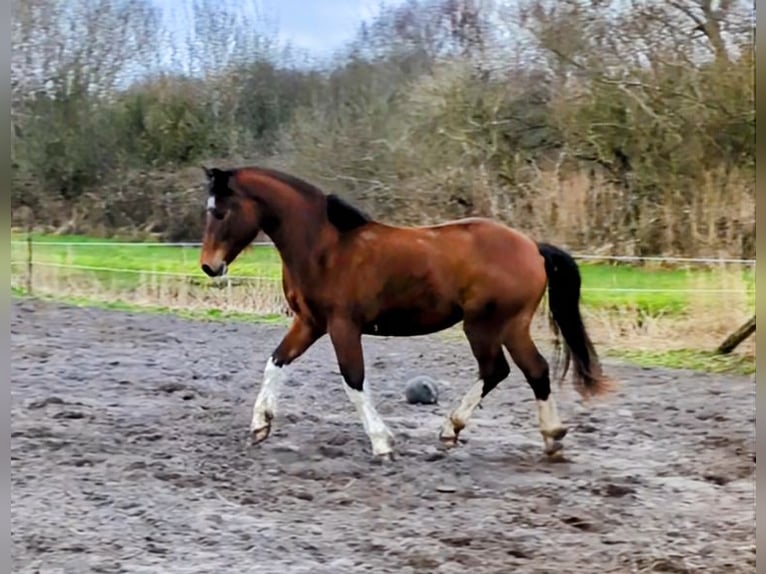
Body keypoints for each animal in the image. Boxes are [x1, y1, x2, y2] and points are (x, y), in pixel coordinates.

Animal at [200, 164, 616, 462]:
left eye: (219, 212)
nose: (209, 266)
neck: (323, 248)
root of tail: (532, 247)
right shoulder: (310, 323)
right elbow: (276, 363)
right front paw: (259, 426)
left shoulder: (342, 326)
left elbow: (353, 381)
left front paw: (382, 444)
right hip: (509, 327)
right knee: (532, 371)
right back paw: (546, 437)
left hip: (487, 325)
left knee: (500, 370)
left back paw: (459, 430)